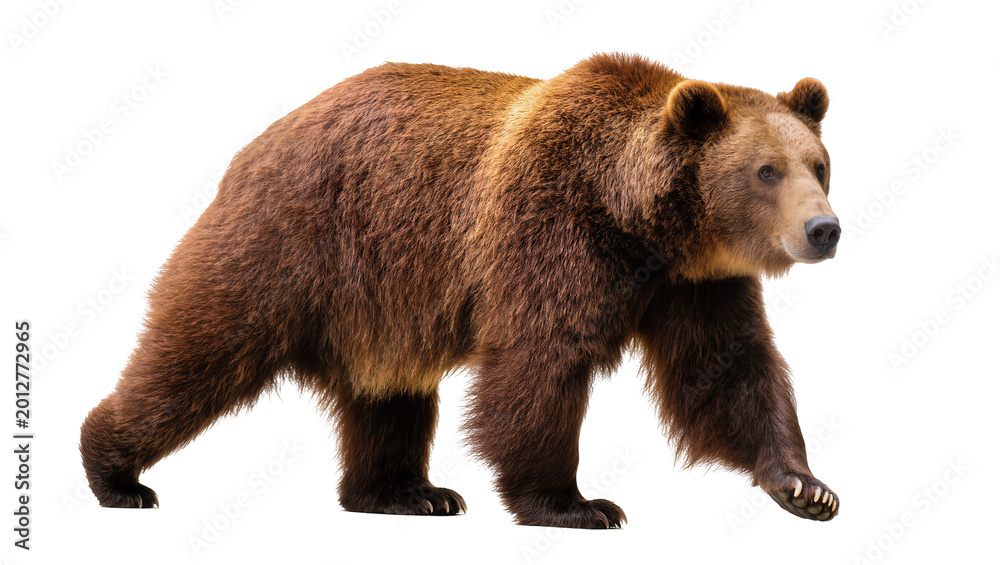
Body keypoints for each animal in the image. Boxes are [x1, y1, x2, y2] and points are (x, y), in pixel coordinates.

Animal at [80, 52, 841, 528]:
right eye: (766, 170)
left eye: (819, 163)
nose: (824, 229)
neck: (641, 223)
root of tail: (255, 143)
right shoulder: (551, 228)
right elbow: (540, 361)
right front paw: (576, 503)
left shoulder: (695, 281)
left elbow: (727, 369)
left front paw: (805, 486)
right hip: (291, 243)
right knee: (199, 350)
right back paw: (115, 472)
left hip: (377, 300)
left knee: (389, 393)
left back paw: (407, 492)